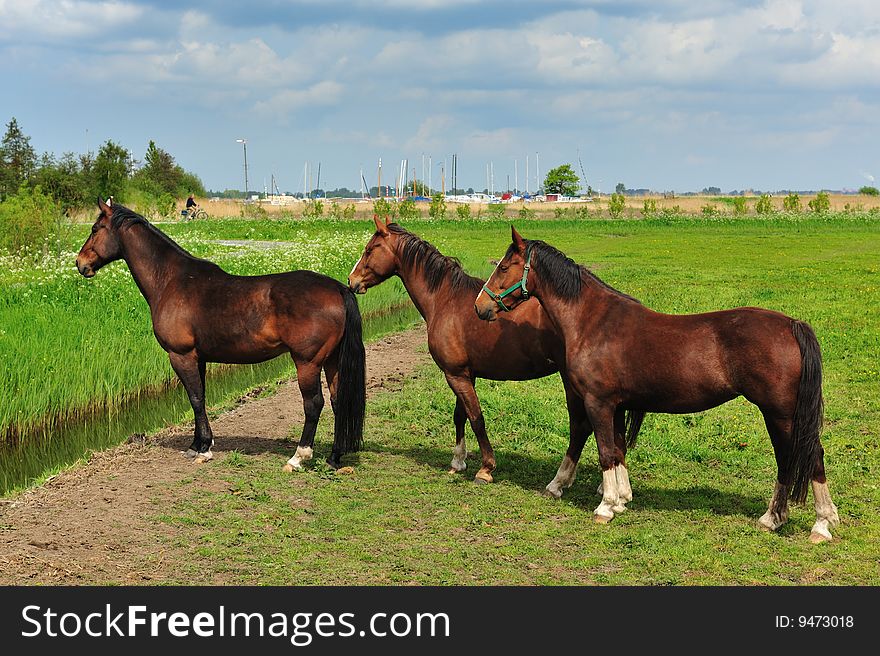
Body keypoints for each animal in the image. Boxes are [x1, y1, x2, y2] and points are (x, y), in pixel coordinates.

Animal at [75, 199, 364, 472]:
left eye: (95, 229)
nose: (80, 263)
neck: (171, 280)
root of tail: (338, 288)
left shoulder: (181, 355)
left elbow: (195, 398)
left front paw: (203, 450)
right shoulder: (198, 357)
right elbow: (199, 396)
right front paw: (196, 444)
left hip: (307, 362)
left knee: (313, 403)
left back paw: (298, 458)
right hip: (331, 360)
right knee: (338, 400)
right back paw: (334, 457)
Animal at [348, 217, 644, 486]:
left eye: (370, 249)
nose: (351, 281)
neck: (445, 299)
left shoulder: (455, 375)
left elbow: (476, 418)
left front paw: (486, 468)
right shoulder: (465, 374)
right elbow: (460, 416)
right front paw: (458, 461)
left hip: (573, 385)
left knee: (581, 428)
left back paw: (564, 482)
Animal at [478, 227, 844, 544]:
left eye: (505, 266)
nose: (480, 307)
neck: (594, 322)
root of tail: (792, 325)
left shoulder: (598, 402)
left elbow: (605, 451)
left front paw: (605, 507)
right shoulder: (617, 405)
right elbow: (618, 450)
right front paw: (620, 500)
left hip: (782, 414)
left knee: (809, 457)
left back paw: (821, 524)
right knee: (787, 459)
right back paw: (773, 519)